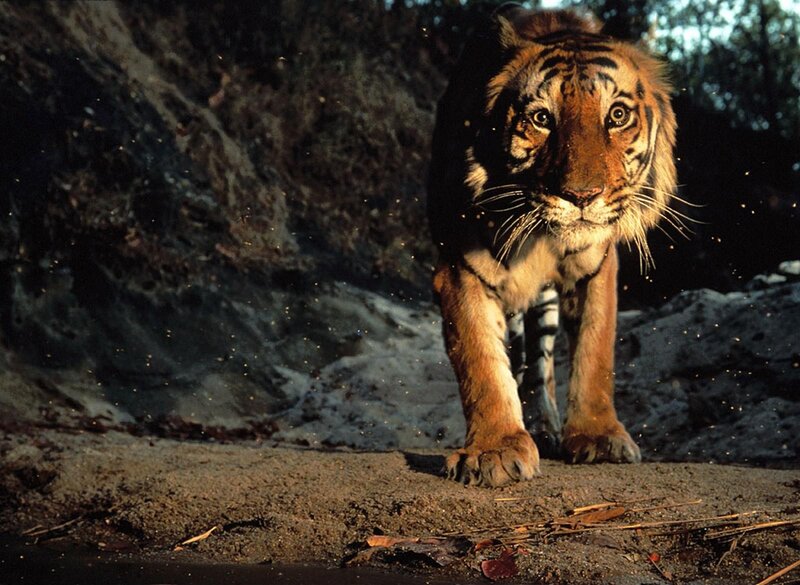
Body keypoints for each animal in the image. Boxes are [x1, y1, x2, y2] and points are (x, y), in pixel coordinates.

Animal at [427, 4, 677, 487]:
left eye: (617, 115)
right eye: (542, 119)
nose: (581, 196)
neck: (541, 241)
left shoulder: (596, 269)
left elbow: (595, 352)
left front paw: (598, 437)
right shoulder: (461, 269)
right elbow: (481, 361)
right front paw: (493, 451)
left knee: (540, 365)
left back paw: (546, 426)